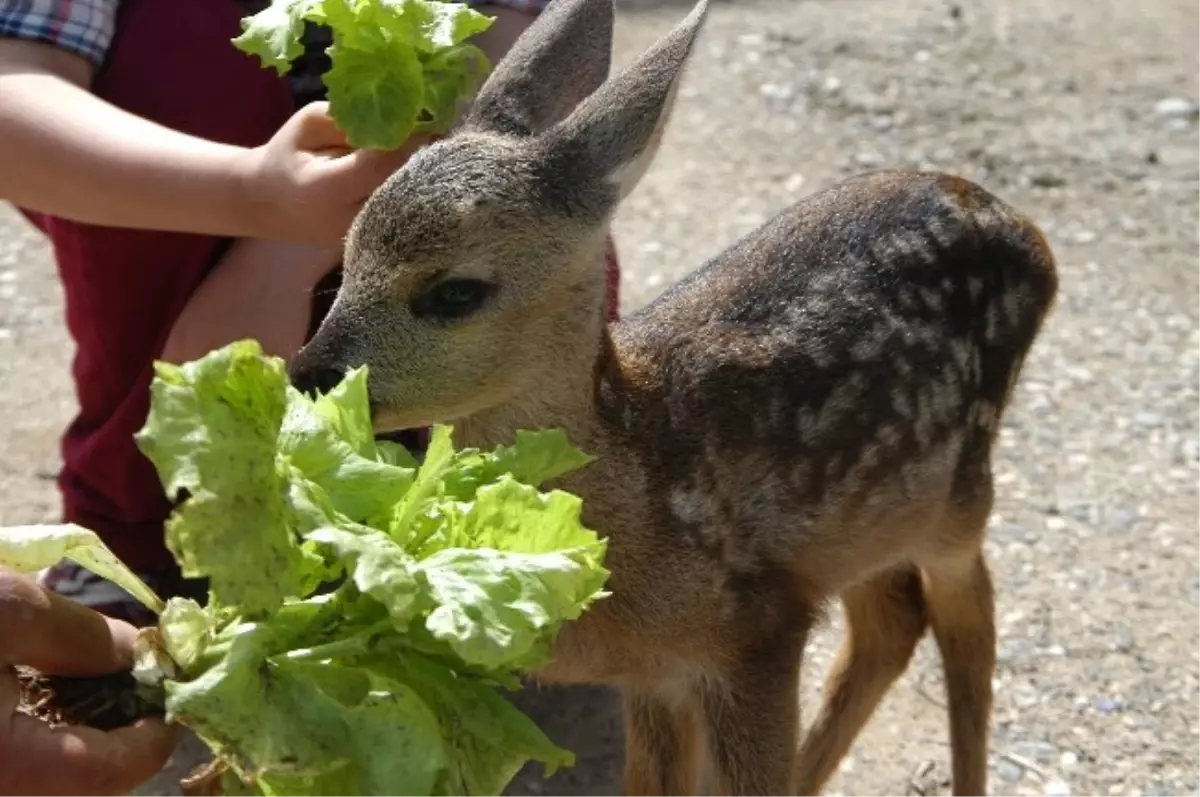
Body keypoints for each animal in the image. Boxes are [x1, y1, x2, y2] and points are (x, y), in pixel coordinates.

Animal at [290, 0, 1060, 792]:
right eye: (345, 251)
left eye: (454, 292)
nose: (308, 372)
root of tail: (1026, 230)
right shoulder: (657, 673)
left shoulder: (758, 632)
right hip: (873, 516)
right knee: (895, 620)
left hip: (960, 488)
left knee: (970, 617)